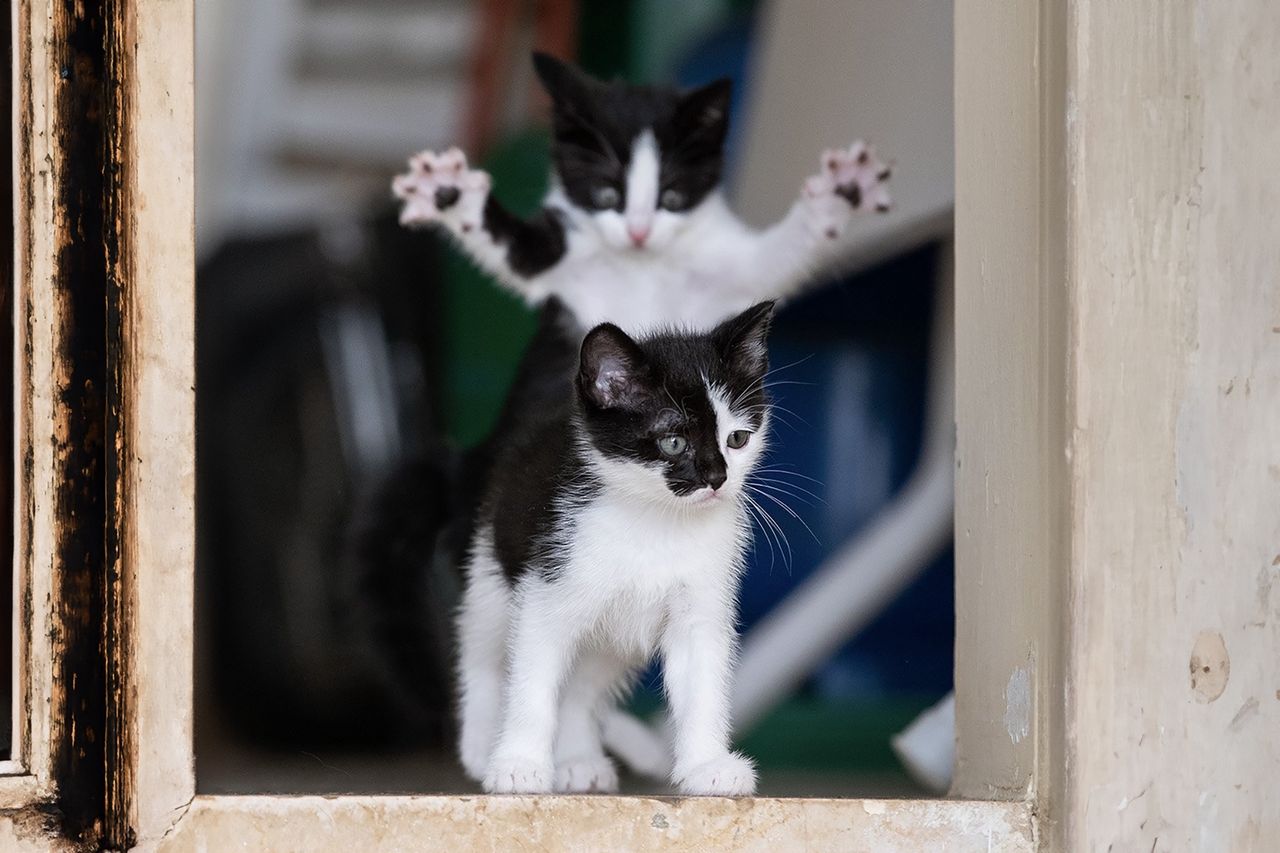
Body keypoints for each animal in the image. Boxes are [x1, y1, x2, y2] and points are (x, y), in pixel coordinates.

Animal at [389, 52, 890, 333]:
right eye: (607, 195)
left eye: (672, 198)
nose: (638, 233)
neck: (644, 268)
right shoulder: (561, 274)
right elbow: (517, 249)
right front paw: (450, 194)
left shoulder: (734, 279)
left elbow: (774, 259)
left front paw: (840, 192)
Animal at [460, 302, 778, 794]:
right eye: (673, 441)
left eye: (738, 439)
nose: (717, 478)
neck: (656, 521)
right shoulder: (548, 586)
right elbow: (532, 681)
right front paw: (519, 764)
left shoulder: (700, 606)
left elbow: (702, 684)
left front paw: (707, 765)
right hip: (491, 567)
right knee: (483, 653)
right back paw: (479, 746)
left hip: (610, 640)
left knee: (580, 686)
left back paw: (577, 759)